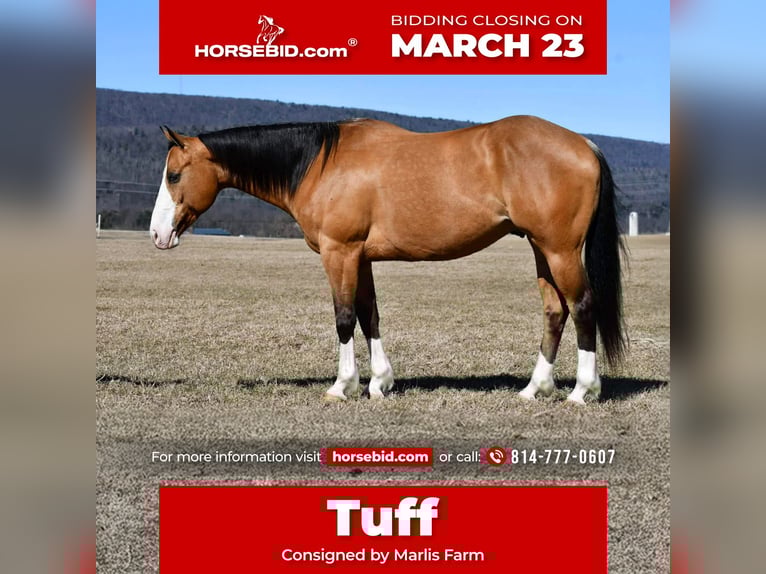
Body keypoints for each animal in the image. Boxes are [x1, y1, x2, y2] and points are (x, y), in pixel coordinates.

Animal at [149, 117, 626, 404]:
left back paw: (581, 391)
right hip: (542, 249)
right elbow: (369, 315)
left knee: (583, 307)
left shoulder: (339, 252)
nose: (157, 235)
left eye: (174, 175)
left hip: (560, 250)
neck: (319, 163)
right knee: (555, 312)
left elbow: (344, 318)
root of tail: (584, 143)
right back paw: (534, 388)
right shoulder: (360, 257)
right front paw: (379, 382)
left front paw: (342, 386)